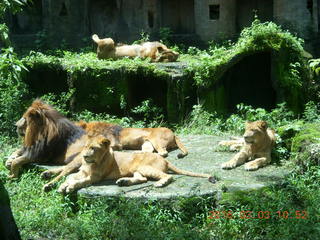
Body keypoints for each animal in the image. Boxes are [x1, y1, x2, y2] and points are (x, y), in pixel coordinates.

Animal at [57, 134, 215, 194]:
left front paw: (70, 187)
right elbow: (69, 177)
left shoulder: (95, 177)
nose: (84, 156)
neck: (90, 163)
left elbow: (79, 182)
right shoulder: (81, 172)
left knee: (167, 176)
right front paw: (62, 186)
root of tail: (165, 160)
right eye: (85, 147)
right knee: (142, 179)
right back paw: (123, 182)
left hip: (145, 166)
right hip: (138, 170)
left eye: (93, 148)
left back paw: (160, 183)